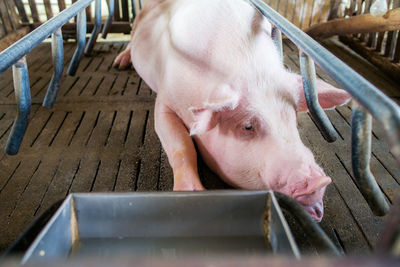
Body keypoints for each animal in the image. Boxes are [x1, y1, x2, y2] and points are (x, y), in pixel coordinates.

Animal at [112, 0, 350, 222]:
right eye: (248, 126)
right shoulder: (165, 99)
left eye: (293, 119)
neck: (253, 74)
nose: (318, 181)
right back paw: (119, 64)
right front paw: (192, 192)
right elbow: (181, 145)